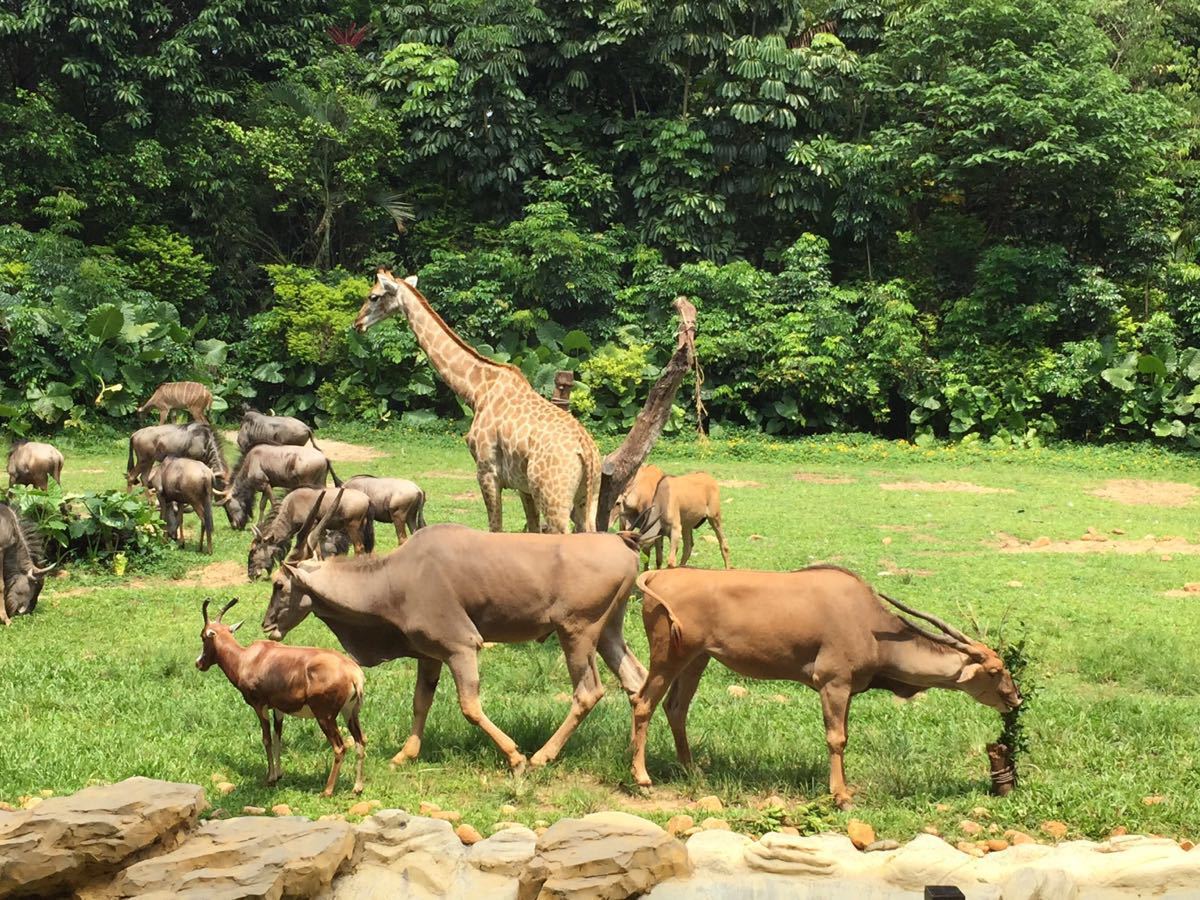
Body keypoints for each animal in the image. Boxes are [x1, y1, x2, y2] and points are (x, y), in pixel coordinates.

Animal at [196, 600, 367, 796]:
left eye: (203, 636)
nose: (199, 663)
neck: (250, 658)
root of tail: (354, 674)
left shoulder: (259, 706)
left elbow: (267, 739)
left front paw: (270, 778)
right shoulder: (278, 709)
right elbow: (278, 738)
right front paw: (278, 775)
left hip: (325, 717)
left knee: (340, 747)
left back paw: (327, 790)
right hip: (350, 713)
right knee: (361, 741)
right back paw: (357, 787)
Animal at [352, 270, 600, 535]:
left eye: (373, 296)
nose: (357, 324)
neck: (477, 390)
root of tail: (588, 453)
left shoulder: (486, 471)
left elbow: (495, 528)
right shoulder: (522, 485)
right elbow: (530, 528)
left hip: (554, 498)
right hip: (586, 499)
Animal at [628, 564, 1022, 811]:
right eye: (996, 669)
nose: (1015, 699)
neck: (872, 626)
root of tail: (658, 575)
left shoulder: (846, 691)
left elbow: (843, 737)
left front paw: (842, 789)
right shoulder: (833, 683)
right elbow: (836, 739)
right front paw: (841, 797)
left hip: (698, 660)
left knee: (676, 708)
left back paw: (691, 770)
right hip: (668, 657)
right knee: (643, 702)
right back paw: (643, 780)